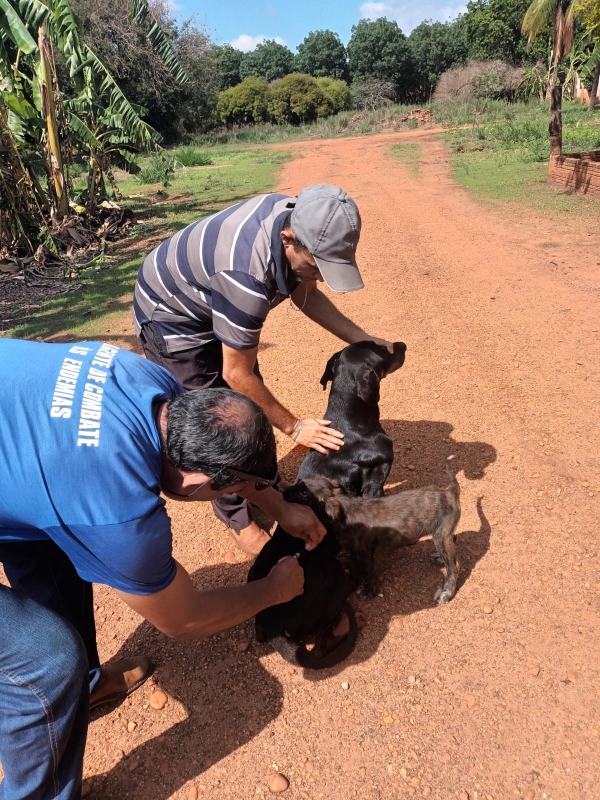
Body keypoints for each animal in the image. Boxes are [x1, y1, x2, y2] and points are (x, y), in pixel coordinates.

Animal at [284, 460, 462, 604]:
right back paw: (440, 559)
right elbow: (355, 568)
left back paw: (446, 592)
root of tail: (449, 491)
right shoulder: (353, 550)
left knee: (454, 566)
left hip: (440, 536)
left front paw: (369, 591)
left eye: (304, 493)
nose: (283, 491)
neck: (343, 509)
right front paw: (351, 582)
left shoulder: (365, 551)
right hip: (444, 535)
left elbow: (368, 572)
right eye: (299, 483)